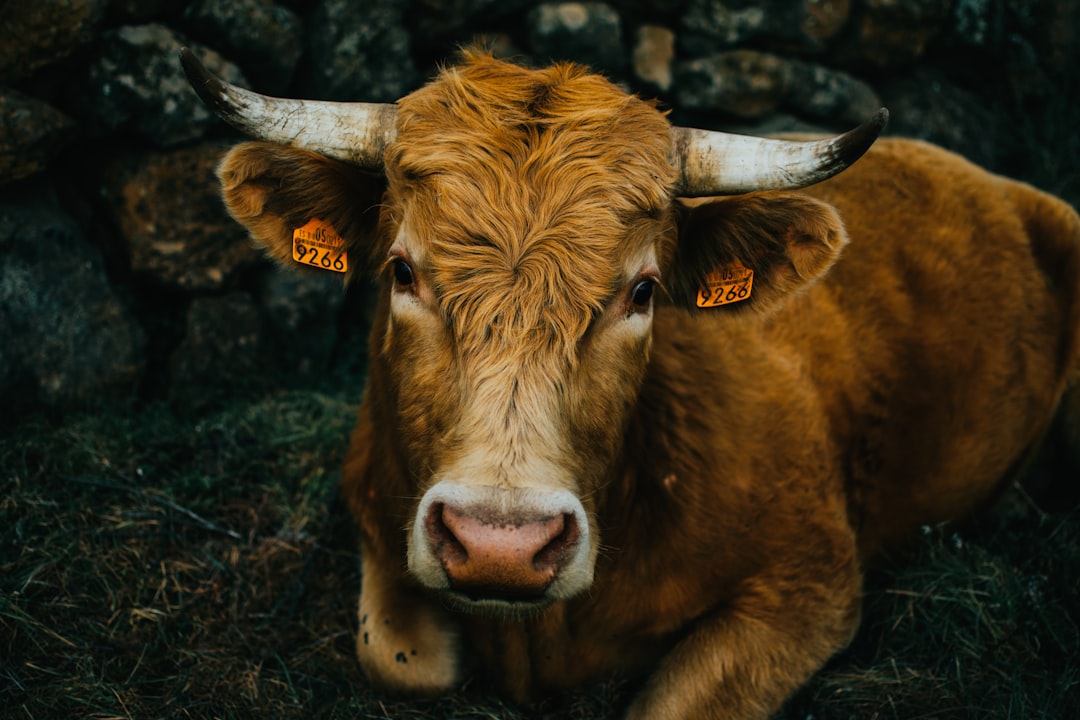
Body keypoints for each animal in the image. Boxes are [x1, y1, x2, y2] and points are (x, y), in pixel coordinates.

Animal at [179, 47, 1080, 716]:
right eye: (402, 271)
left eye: (643, 292)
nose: (501, 545)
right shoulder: (373, 511)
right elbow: (402, 661)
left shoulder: (812, 586)